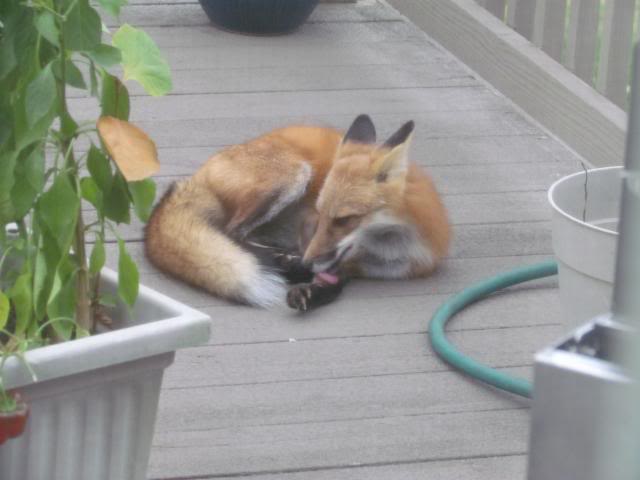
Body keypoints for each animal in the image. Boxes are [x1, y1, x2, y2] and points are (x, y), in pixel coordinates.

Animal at [145, 114, 450, 311]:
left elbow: (334, 283)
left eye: (343, 220)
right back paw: (281, 261)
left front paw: (310, 293)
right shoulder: (308, 228)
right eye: (320, 213)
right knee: (232, 232)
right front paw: (299, 272)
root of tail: (197, 176)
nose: (307, 261)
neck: (385, 250)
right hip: (294, 174)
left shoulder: (354, 266)